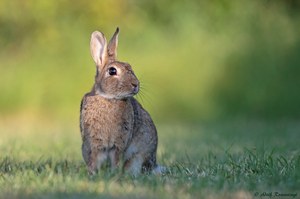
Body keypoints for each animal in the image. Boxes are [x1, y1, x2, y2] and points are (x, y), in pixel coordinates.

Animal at [79, 27, 159, 176]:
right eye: (112, 71)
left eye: (129, 66)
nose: (136, 84)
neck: (108, 98)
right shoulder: (94, 142)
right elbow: (94, 159)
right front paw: (93, 174)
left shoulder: (119, 143)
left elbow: (116, 158)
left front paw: (114, 173)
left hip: (138, 157)